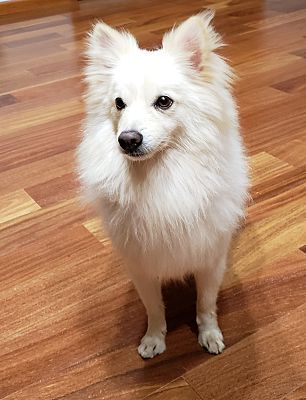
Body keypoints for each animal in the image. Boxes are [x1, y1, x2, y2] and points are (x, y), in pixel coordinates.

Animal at [77, 10, 249, 360]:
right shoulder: (141, 266)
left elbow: (205, 305)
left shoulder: (210, 262)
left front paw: (209, 334)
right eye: (119, 104)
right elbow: (154, 308)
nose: (127, 139)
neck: (160, 175)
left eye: (164, 102)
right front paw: (154, 338)